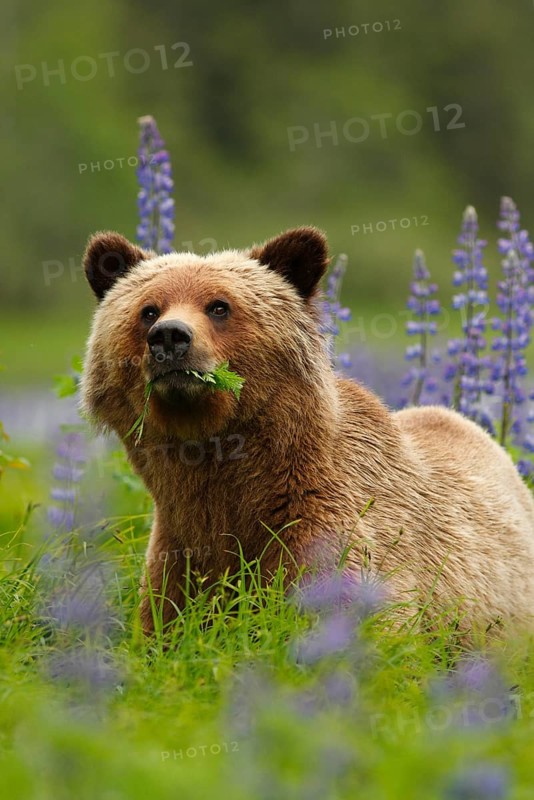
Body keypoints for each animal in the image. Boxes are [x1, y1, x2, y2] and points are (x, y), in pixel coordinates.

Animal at [81, 227, 534, 635]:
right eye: (148, 310)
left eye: (219, 306)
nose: (170, 336)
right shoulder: (179, 547)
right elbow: (166, 625)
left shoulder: (322, 525)